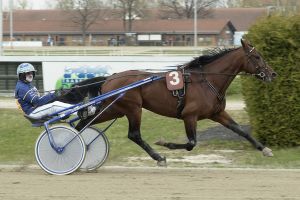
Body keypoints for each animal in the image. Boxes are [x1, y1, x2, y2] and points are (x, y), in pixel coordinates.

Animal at [63, 39, 276, 166]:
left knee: (83, 123)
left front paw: (264, 149)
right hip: (133, 108)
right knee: (134, 134)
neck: (207, 81)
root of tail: (110, 77)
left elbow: (240, 130)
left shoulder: (217, 113)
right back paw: (159, 157)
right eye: (257, 56)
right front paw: (164, 143)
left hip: (114, 109)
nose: (272, 74)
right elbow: (191, 143)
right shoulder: (189, 116)